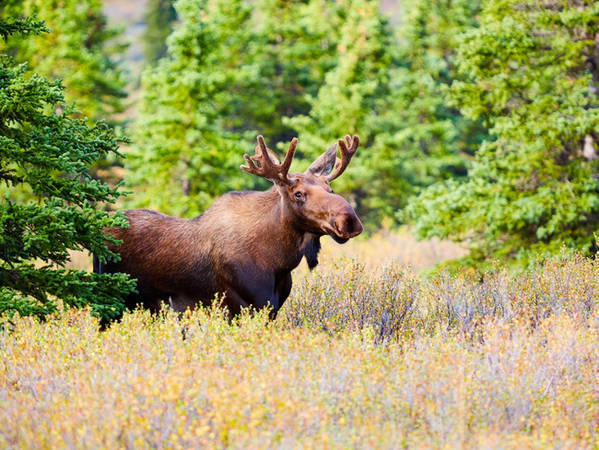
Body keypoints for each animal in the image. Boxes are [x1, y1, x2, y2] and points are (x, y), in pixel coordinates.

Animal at [96, 135, 364, 318]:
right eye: (298, 193)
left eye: (330, 189)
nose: (349, 220)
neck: (279, 260)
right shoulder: (242, 306)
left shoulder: (272, 308)